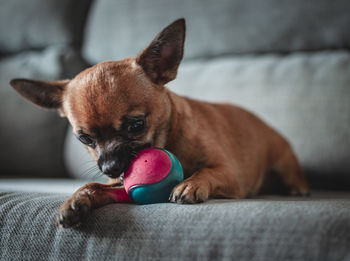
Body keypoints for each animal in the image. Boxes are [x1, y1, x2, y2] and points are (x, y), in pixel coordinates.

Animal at [9, 18, 308, 226]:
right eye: (84, 139)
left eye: (136, 125)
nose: (109, 167)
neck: (169, 141)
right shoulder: (121, 187)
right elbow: (94, 186)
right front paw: (76, 200)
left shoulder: (230, 174)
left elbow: (207, 171)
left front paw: (191, 183)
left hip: (283, 163)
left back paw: (297, 189)